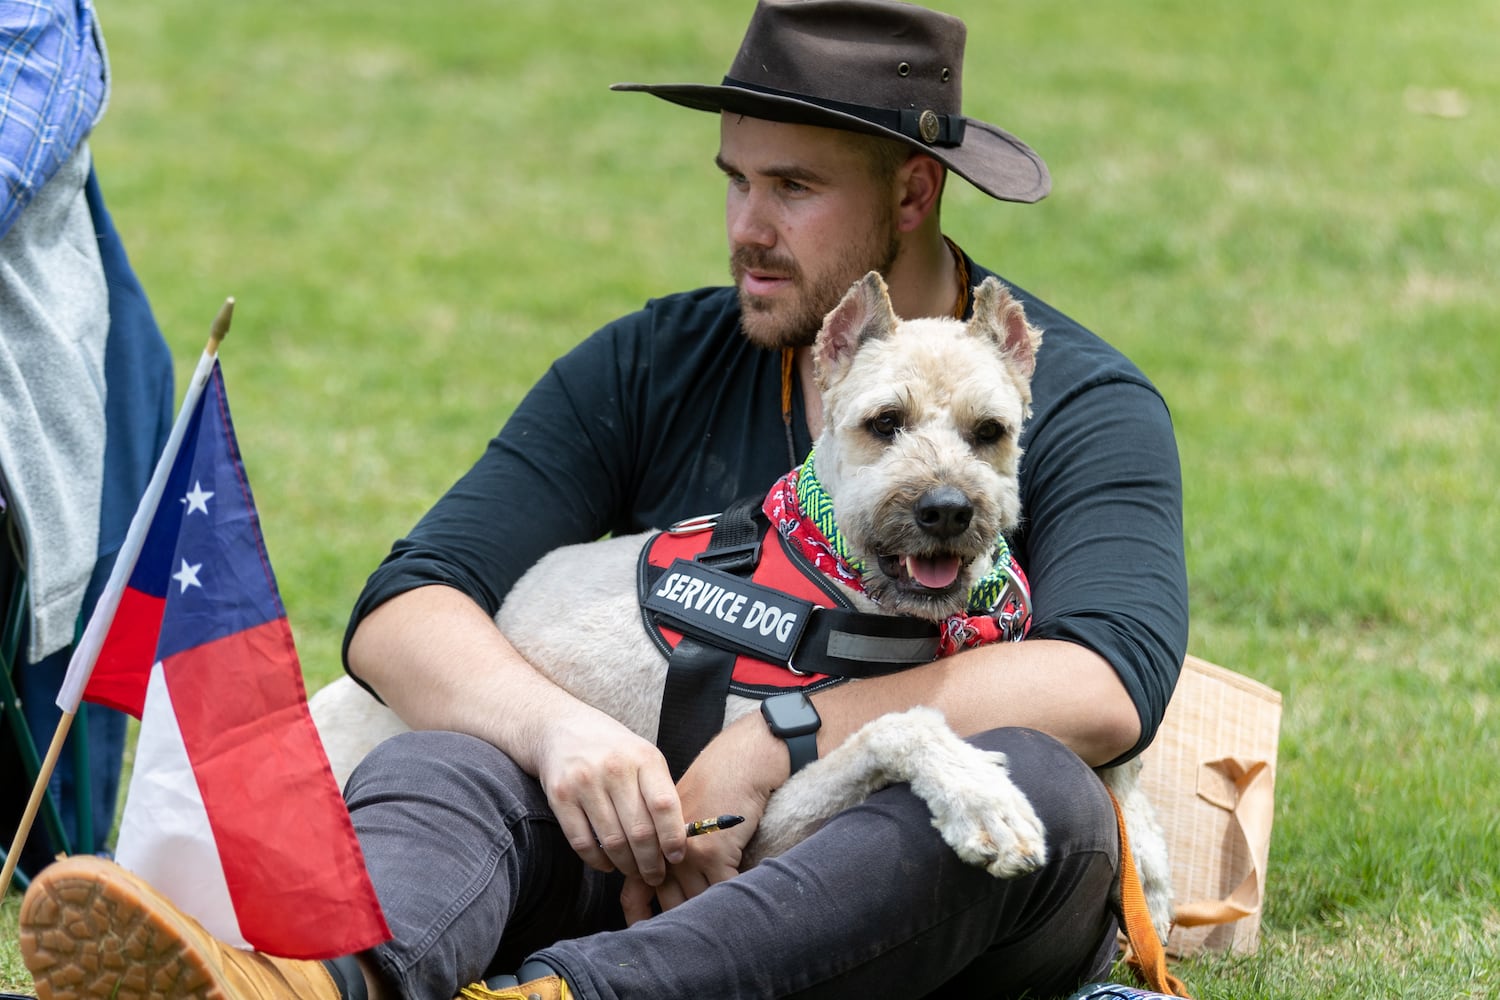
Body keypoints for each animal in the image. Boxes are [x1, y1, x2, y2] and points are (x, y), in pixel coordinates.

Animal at [316, 271, 1176, 941]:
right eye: (884, 423)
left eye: (990, 431)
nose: (946, 510)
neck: (831, 573)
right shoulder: (759, 833)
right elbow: (898, 725)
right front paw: (984, 800)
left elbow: (1126, 760)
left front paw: (1151, 872)